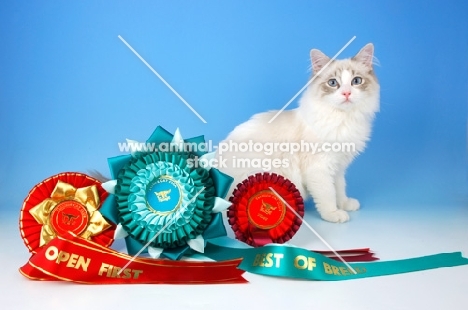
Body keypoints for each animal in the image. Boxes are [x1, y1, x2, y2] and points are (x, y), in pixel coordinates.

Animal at [218, 43, 378, 223]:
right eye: (333, 83)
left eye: (356, 81)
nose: (346, 93)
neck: (343, 118)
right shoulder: (319, 168)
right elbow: (328, 194)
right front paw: (333, 213)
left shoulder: (338, 167)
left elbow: (339, 188)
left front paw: (344, 204)